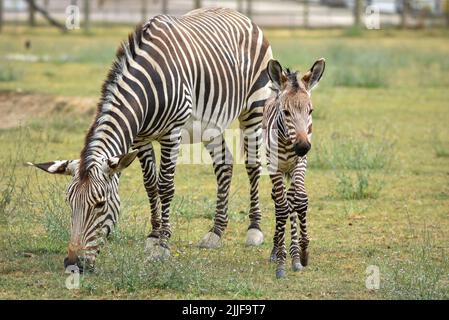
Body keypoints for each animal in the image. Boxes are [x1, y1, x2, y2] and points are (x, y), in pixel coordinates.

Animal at [29, 7, 272, 268]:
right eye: (69, 202)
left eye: (100, 204)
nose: (73, 263)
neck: (147, 88)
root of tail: (238, 13)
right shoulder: (141, 139)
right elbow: (150, 185)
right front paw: (153, 236)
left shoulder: (171, 134)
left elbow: (165, 186)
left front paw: (163, 245)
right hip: (211, 125)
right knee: (224, 164)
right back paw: (215, 232)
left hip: (255, 106)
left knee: (253, 165)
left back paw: (254, 230)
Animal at [264, 58, 324, 278]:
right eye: (286, 112)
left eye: (310, 111)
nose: (303, 147)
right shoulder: (274, 167)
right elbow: (281, 208)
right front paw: (281, 261)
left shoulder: (301, 163)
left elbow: (299, 200)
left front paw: (302, 253)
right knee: (279, 200)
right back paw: (277, 250)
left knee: (291, 200)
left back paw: (295, 254)